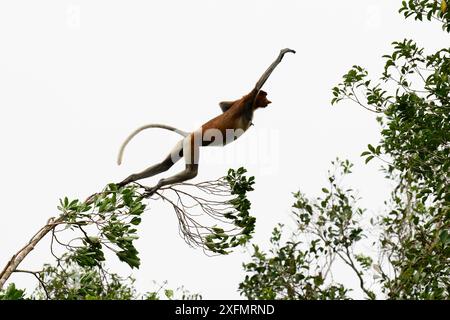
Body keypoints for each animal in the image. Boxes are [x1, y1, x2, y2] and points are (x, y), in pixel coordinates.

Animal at [117, 48, 296, 194]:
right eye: (265, 96)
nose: (269, 101)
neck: (251, 107)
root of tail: (189, 133)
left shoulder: (238, 102)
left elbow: (223, 105)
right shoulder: (246, 101)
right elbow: (258, 84)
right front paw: (282, 54)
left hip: (183, 144)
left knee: (164, 164)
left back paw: (130, 179)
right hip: (193, 143)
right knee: (190, 172)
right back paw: (159, 183)